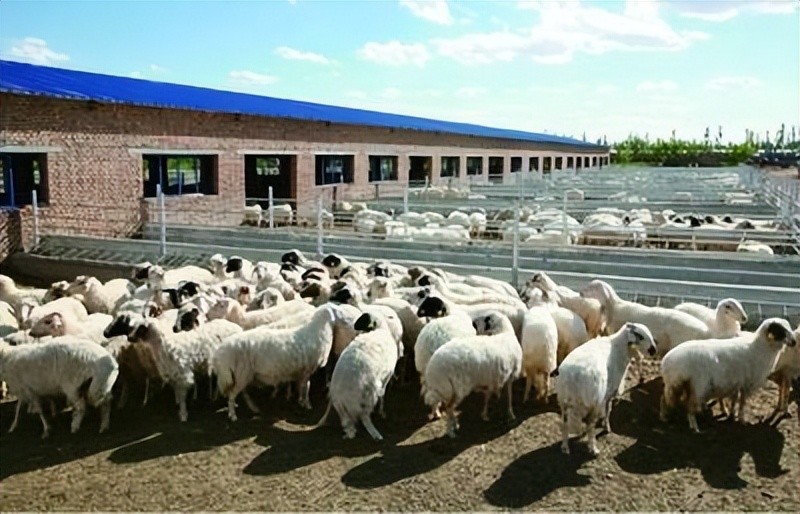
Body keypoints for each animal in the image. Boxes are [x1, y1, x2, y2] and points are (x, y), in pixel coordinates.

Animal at [212, 303, 348, 420]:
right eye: (337, 310)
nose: (347, 321)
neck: (319, 331)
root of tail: (223, 350)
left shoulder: (303, 371)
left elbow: (304, 386)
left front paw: (302, 401)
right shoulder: (307, 369)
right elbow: (306, 387)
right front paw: (305, 403)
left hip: (243, 374)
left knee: (242, 392)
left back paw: (253, 407)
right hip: (241, 373)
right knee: (232, 395)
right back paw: (232, 415)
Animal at [316, 311, 403, 440]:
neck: (379, 330)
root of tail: (339, 396)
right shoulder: (386, 376)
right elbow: (383, 394)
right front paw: (382, 412)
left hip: (346, 409)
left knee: (348, 424)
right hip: (369, 395)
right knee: (364, 416)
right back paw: (375, 433)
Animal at [554, 323, 656, 456]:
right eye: (640, 336)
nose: (653, 350)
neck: (619, 347)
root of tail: (573, 376)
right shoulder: (610, 391)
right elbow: (608, 410)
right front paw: (607, 427)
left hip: (564, 401)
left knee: (565, 423)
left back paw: (565, 447)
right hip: (593, 401)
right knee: (590, 425)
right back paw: (593, 448)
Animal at [660, 318, 795, 432]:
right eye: (781, 330)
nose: (794, 342)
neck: (759, 349)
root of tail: (667, 361)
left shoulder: (736, 382)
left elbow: (735, 400)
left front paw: (731, 415)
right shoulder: (746, 383)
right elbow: (742, 402)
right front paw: (741, 420)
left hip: (677, 384)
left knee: (665, 398)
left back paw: (665, 418)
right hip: (697, 385)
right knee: (689, 406)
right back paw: (694, 427)